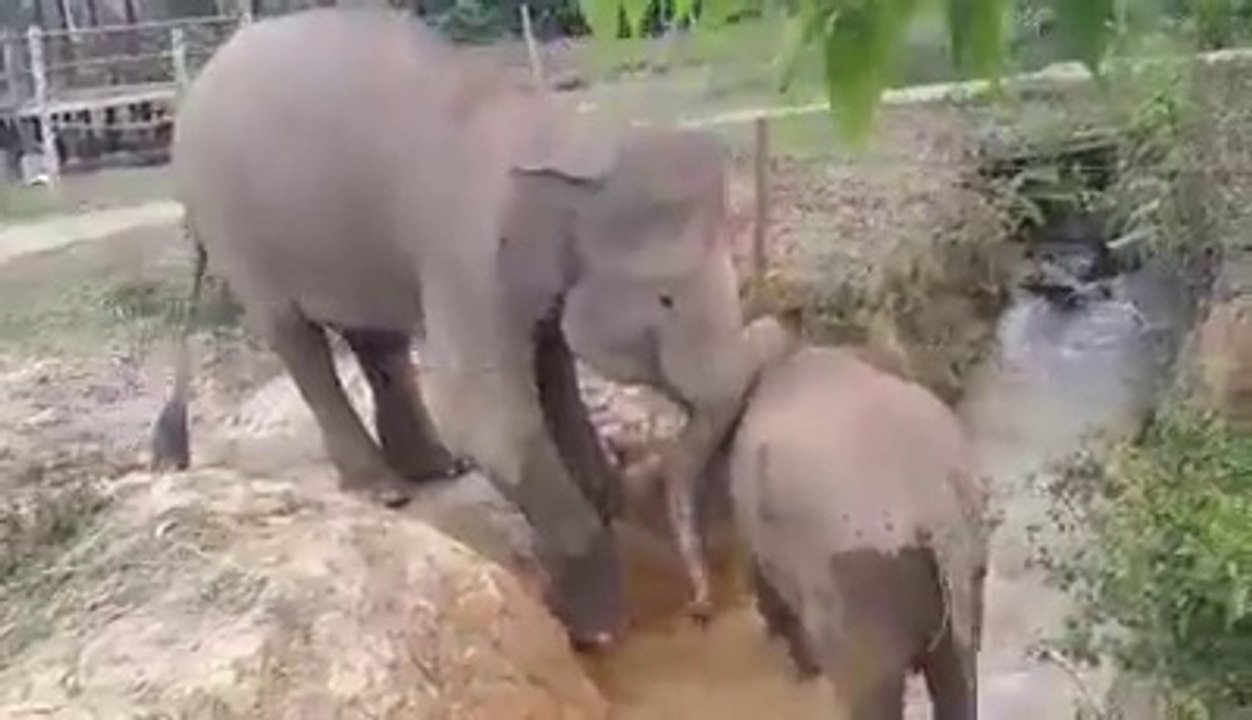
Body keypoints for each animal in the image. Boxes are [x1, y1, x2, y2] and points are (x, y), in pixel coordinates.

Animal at [148, 7, 767, 651]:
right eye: (666, 298)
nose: (702, 605)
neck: (556, 128)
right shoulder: (466, 254)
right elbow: (491, 424)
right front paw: (599, 628)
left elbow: (553, 370)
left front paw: (604, 490)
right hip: (234, 225)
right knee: (295, 337)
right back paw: (383, 489)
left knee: (375, 337)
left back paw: (435, 468)